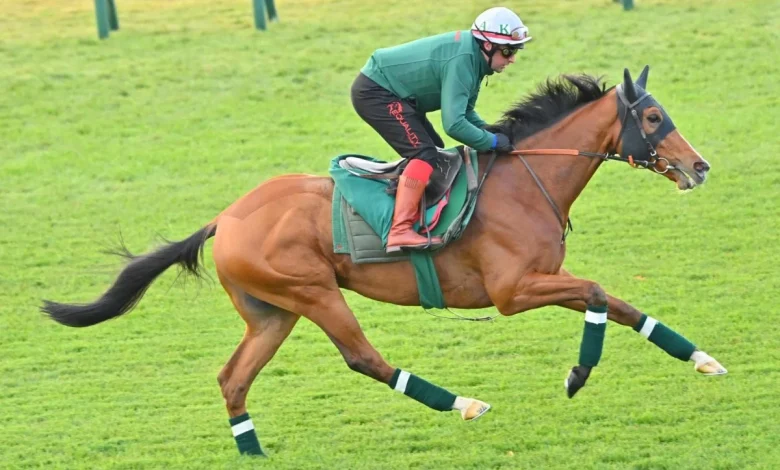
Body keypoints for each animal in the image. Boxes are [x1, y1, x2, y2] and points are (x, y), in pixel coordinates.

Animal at [42, 66, 727, 456]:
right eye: (653, 116)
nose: (699, 167)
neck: (525, 180)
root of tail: (226, 218)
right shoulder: (514, 290)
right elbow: (596, 294)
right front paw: (577, 375)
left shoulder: (540, 281)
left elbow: (623, 304)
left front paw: (702, 358)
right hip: (315, 294)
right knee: (362, 358)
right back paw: (462, 404)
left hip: (273, 312)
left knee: (233, 379)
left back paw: (253, 452)